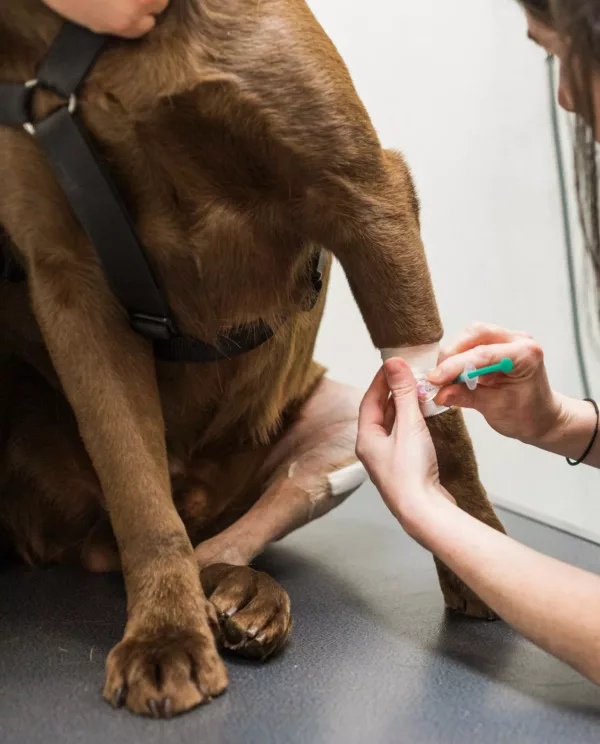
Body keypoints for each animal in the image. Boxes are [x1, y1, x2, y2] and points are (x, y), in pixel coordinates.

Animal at [0, 0, 506, 720]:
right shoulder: (68, 275)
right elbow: (137, 491)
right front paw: (164, 635)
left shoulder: (366, 193)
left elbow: (445, 427)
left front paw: (476, 558)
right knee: (170, 531)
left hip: (345, 431)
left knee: (237, 532)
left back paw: (244, 597)